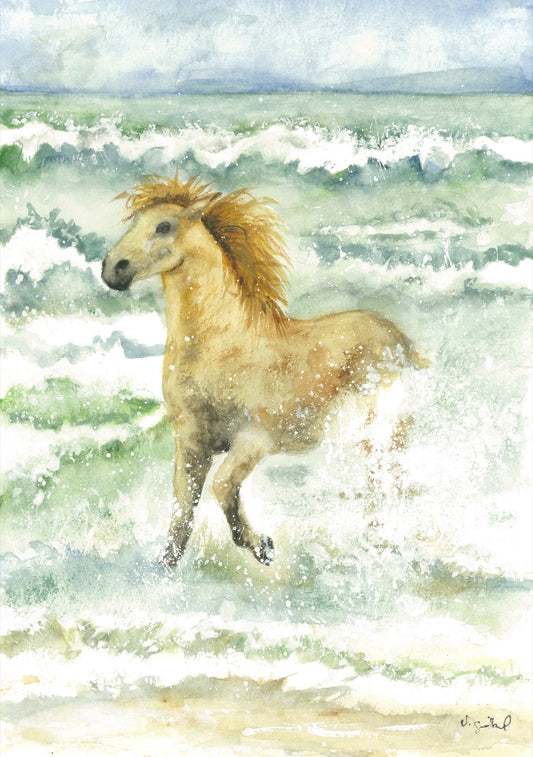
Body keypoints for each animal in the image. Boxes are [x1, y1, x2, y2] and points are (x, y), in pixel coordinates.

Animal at [101, 173, 427, 567]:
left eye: (164, 226)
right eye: (134, 222)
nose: (112, 269)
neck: (222, 346)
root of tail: (401, 340)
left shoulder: (254, 439)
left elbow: (222, 486)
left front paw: (263, 547)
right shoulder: (191, 442)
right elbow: (182, 511)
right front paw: (165, 569)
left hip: (383, 429)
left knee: (390, 482)